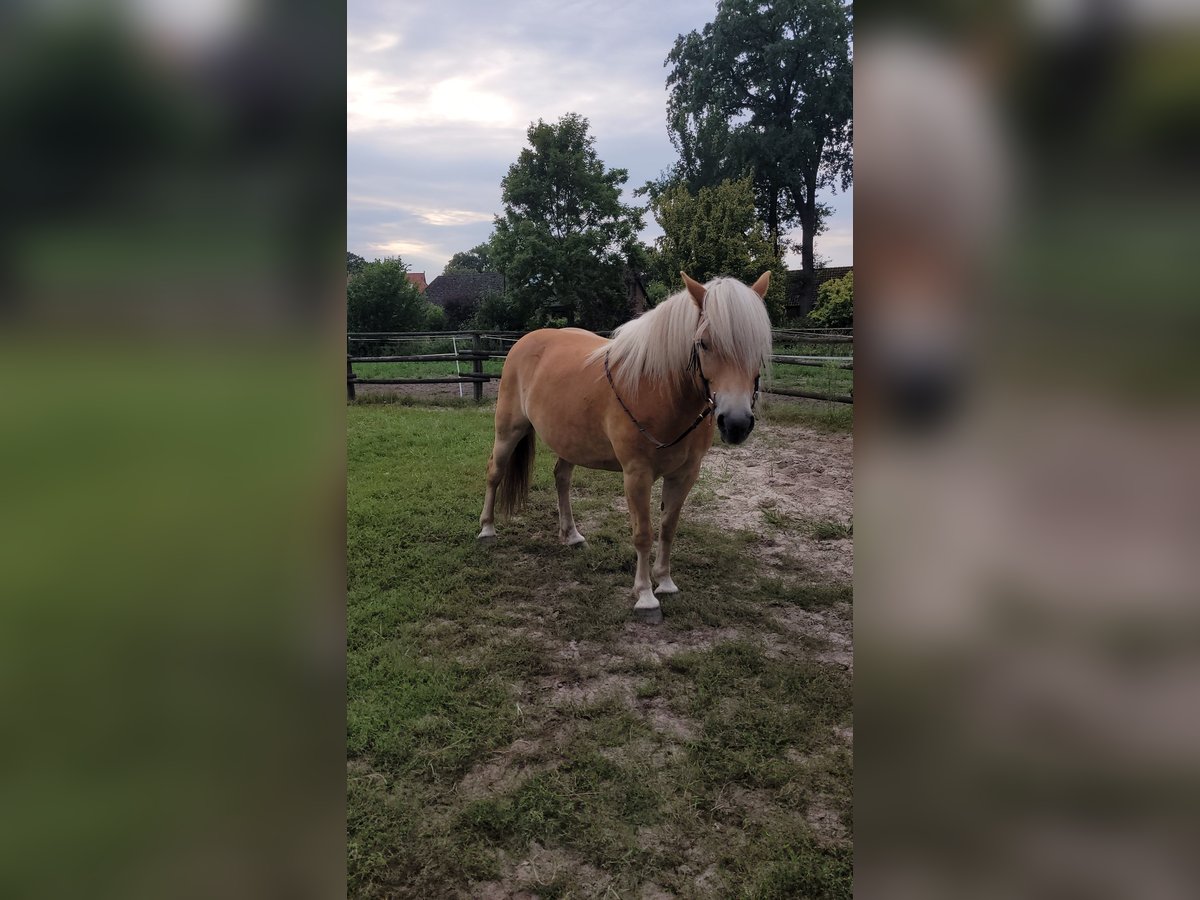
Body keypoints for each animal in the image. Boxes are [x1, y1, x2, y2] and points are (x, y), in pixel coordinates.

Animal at [472, 271, 772, 624]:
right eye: (704, 343)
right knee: (495, 472)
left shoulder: (685, 474)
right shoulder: (637, 475)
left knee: (562, 479)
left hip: (569, 442)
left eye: (758, 346)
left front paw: (665, 582)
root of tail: (524, 342)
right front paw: (645, 596)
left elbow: (668, 527)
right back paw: (487, 529)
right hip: (508, 430)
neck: (658, 390)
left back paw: (571, 534)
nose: (736, 423)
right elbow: (643, 533)